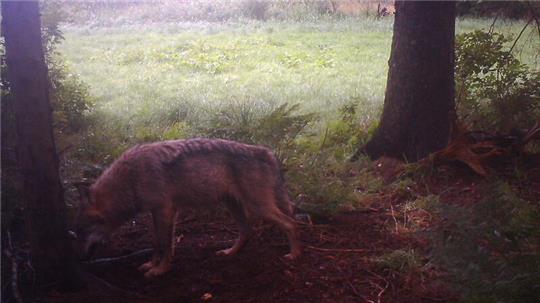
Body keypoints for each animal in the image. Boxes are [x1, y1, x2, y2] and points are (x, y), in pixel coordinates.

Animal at [71, 139, 302, 280]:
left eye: (82, 231)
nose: (78, 258)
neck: (131, 180)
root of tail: (267, 152)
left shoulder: (165, 210)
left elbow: (165, 244)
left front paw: (160, 270)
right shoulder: (160, 212)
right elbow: (157, 243)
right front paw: (152, 265)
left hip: (258, 207)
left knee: (292, 223)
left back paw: (294, 255)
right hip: (233, 206)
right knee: (247, 231)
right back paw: (229, 253)